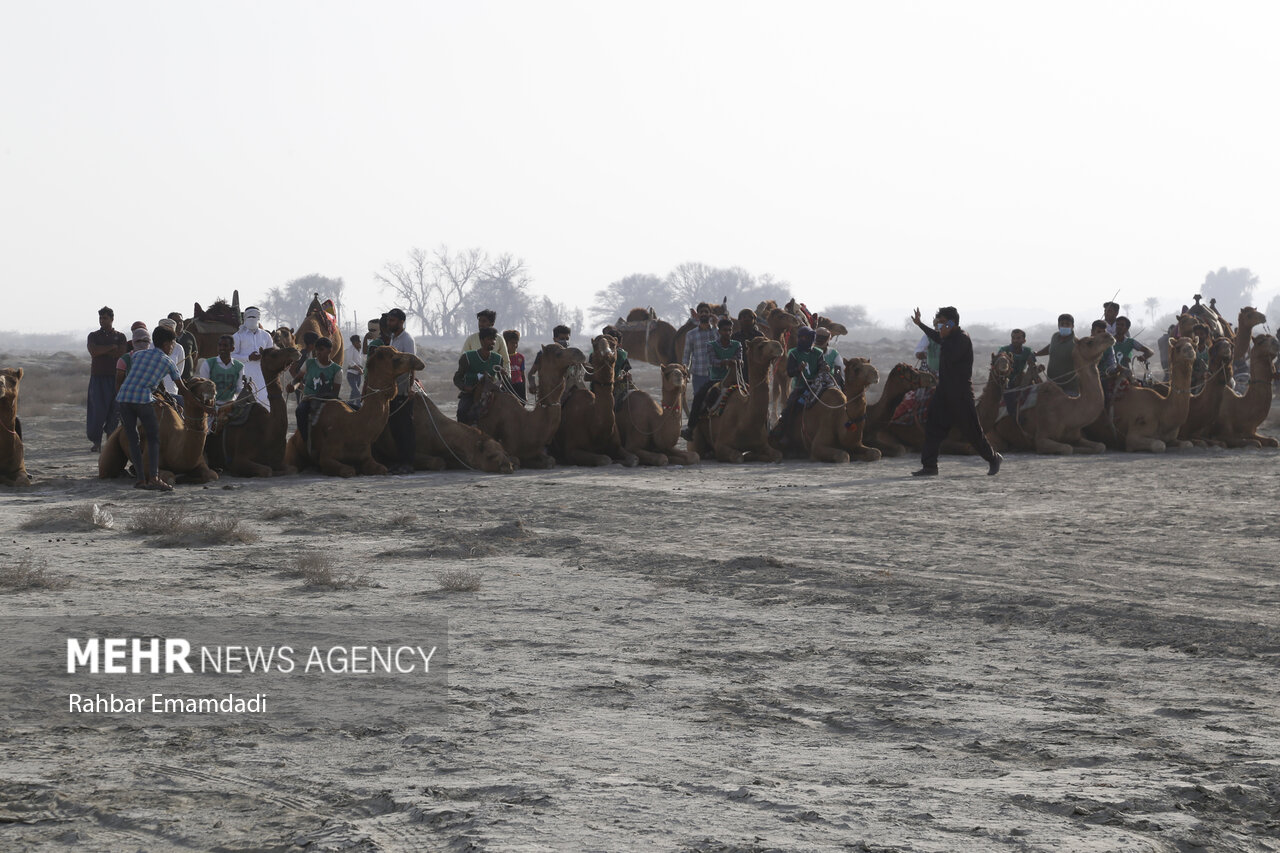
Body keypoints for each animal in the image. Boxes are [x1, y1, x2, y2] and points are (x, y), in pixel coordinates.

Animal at [209, 345, 299, 479]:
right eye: (273, 354)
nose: (294, 350)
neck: (267, 431)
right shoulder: (238, 460)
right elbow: (267, 471)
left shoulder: (279, 461)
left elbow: (292, 469)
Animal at [284, 345, 424, 479]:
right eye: (395, 357)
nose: (418, 361)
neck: (353, 426)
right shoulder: (326, 457)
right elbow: (348, 470)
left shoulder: (366, 456)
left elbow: (382, 468)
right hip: (291, 447)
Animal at [473, 340, 586, 471]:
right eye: (558, 353)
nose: (580, 353)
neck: (527, 423)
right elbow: (516, 460)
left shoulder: (536, 450)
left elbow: (550, 460)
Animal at [552, 333, 640, 466]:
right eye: (594, 345)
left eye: (613, 344)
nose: (606, 351)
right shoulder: (572, 450)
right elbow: (605, 459)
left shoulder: (617, 446)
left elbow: (634, 459)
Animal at [983, 327, 1116, 455]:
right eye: (1089, 342)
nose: (1109, 336)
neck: (1068, 411)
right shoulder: (1042, 438)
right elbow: (1067, 448)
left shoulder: (1076, 437)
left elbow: (1100, 446)